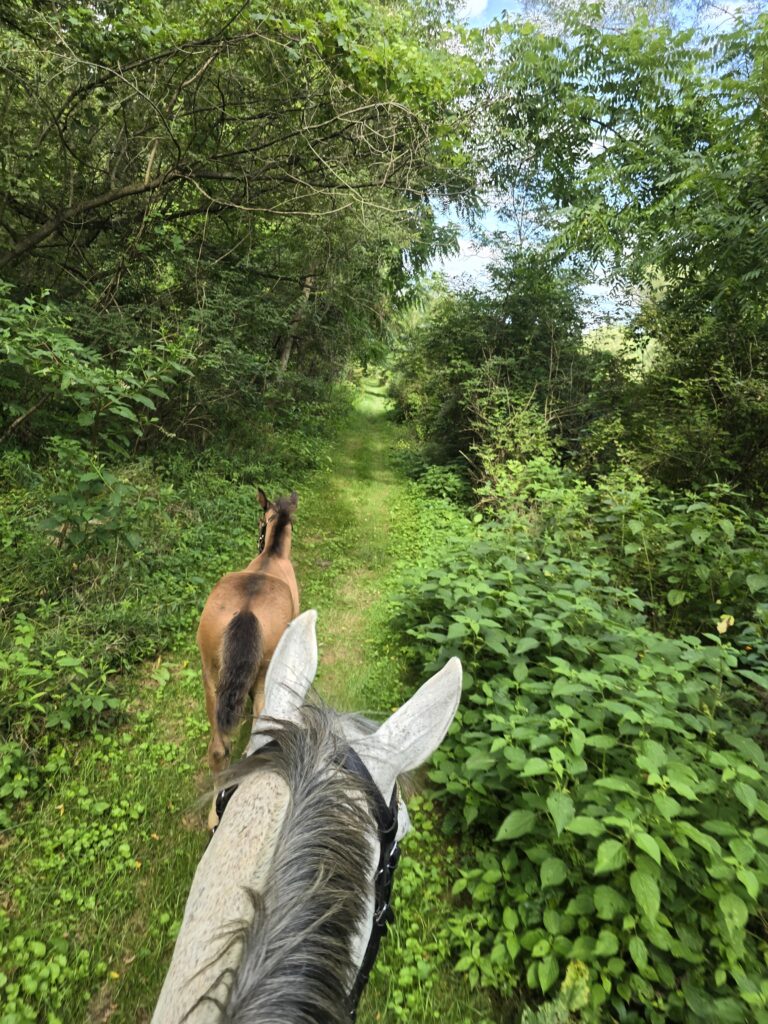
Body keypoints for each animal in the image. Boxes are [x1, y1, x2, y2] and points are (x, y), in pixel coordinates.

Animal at [197, 488, 299, 824]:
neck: (271, 558)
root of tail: (245, 611)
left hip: (210, 674)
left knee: (218, 749)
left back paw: (214, 815)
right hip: (264, 674)